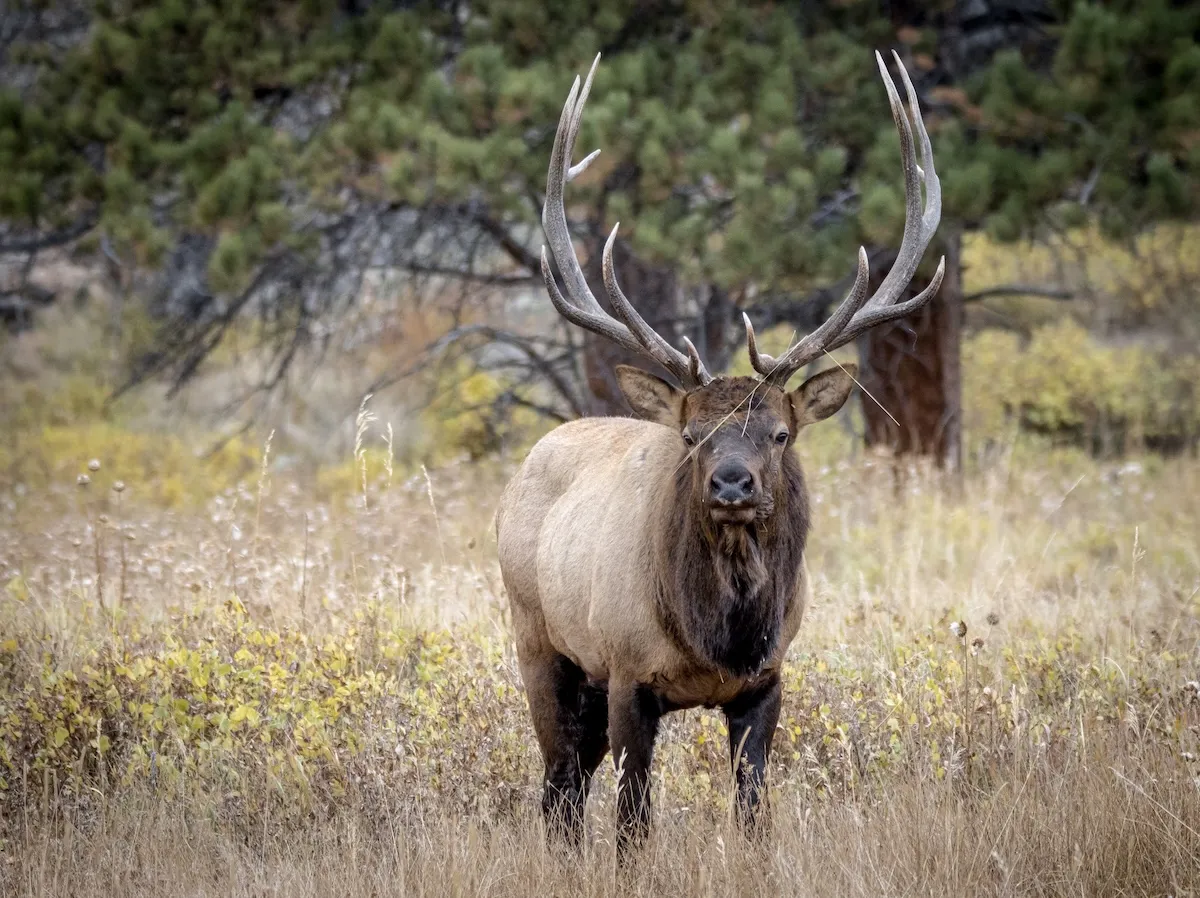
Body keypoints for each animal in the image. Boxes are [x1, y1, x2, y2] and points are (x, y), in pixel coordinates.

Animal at [495, 50, 942, 852]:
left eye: (781, 433)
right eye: (691, 433)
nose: (733, 485)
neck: (717, 638)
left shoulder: (766, 683)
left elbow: (754, 812)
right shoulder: (627, 676)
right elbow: (633, 823)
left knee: (563, 786)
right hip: (540, 644)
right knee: (559, 786)